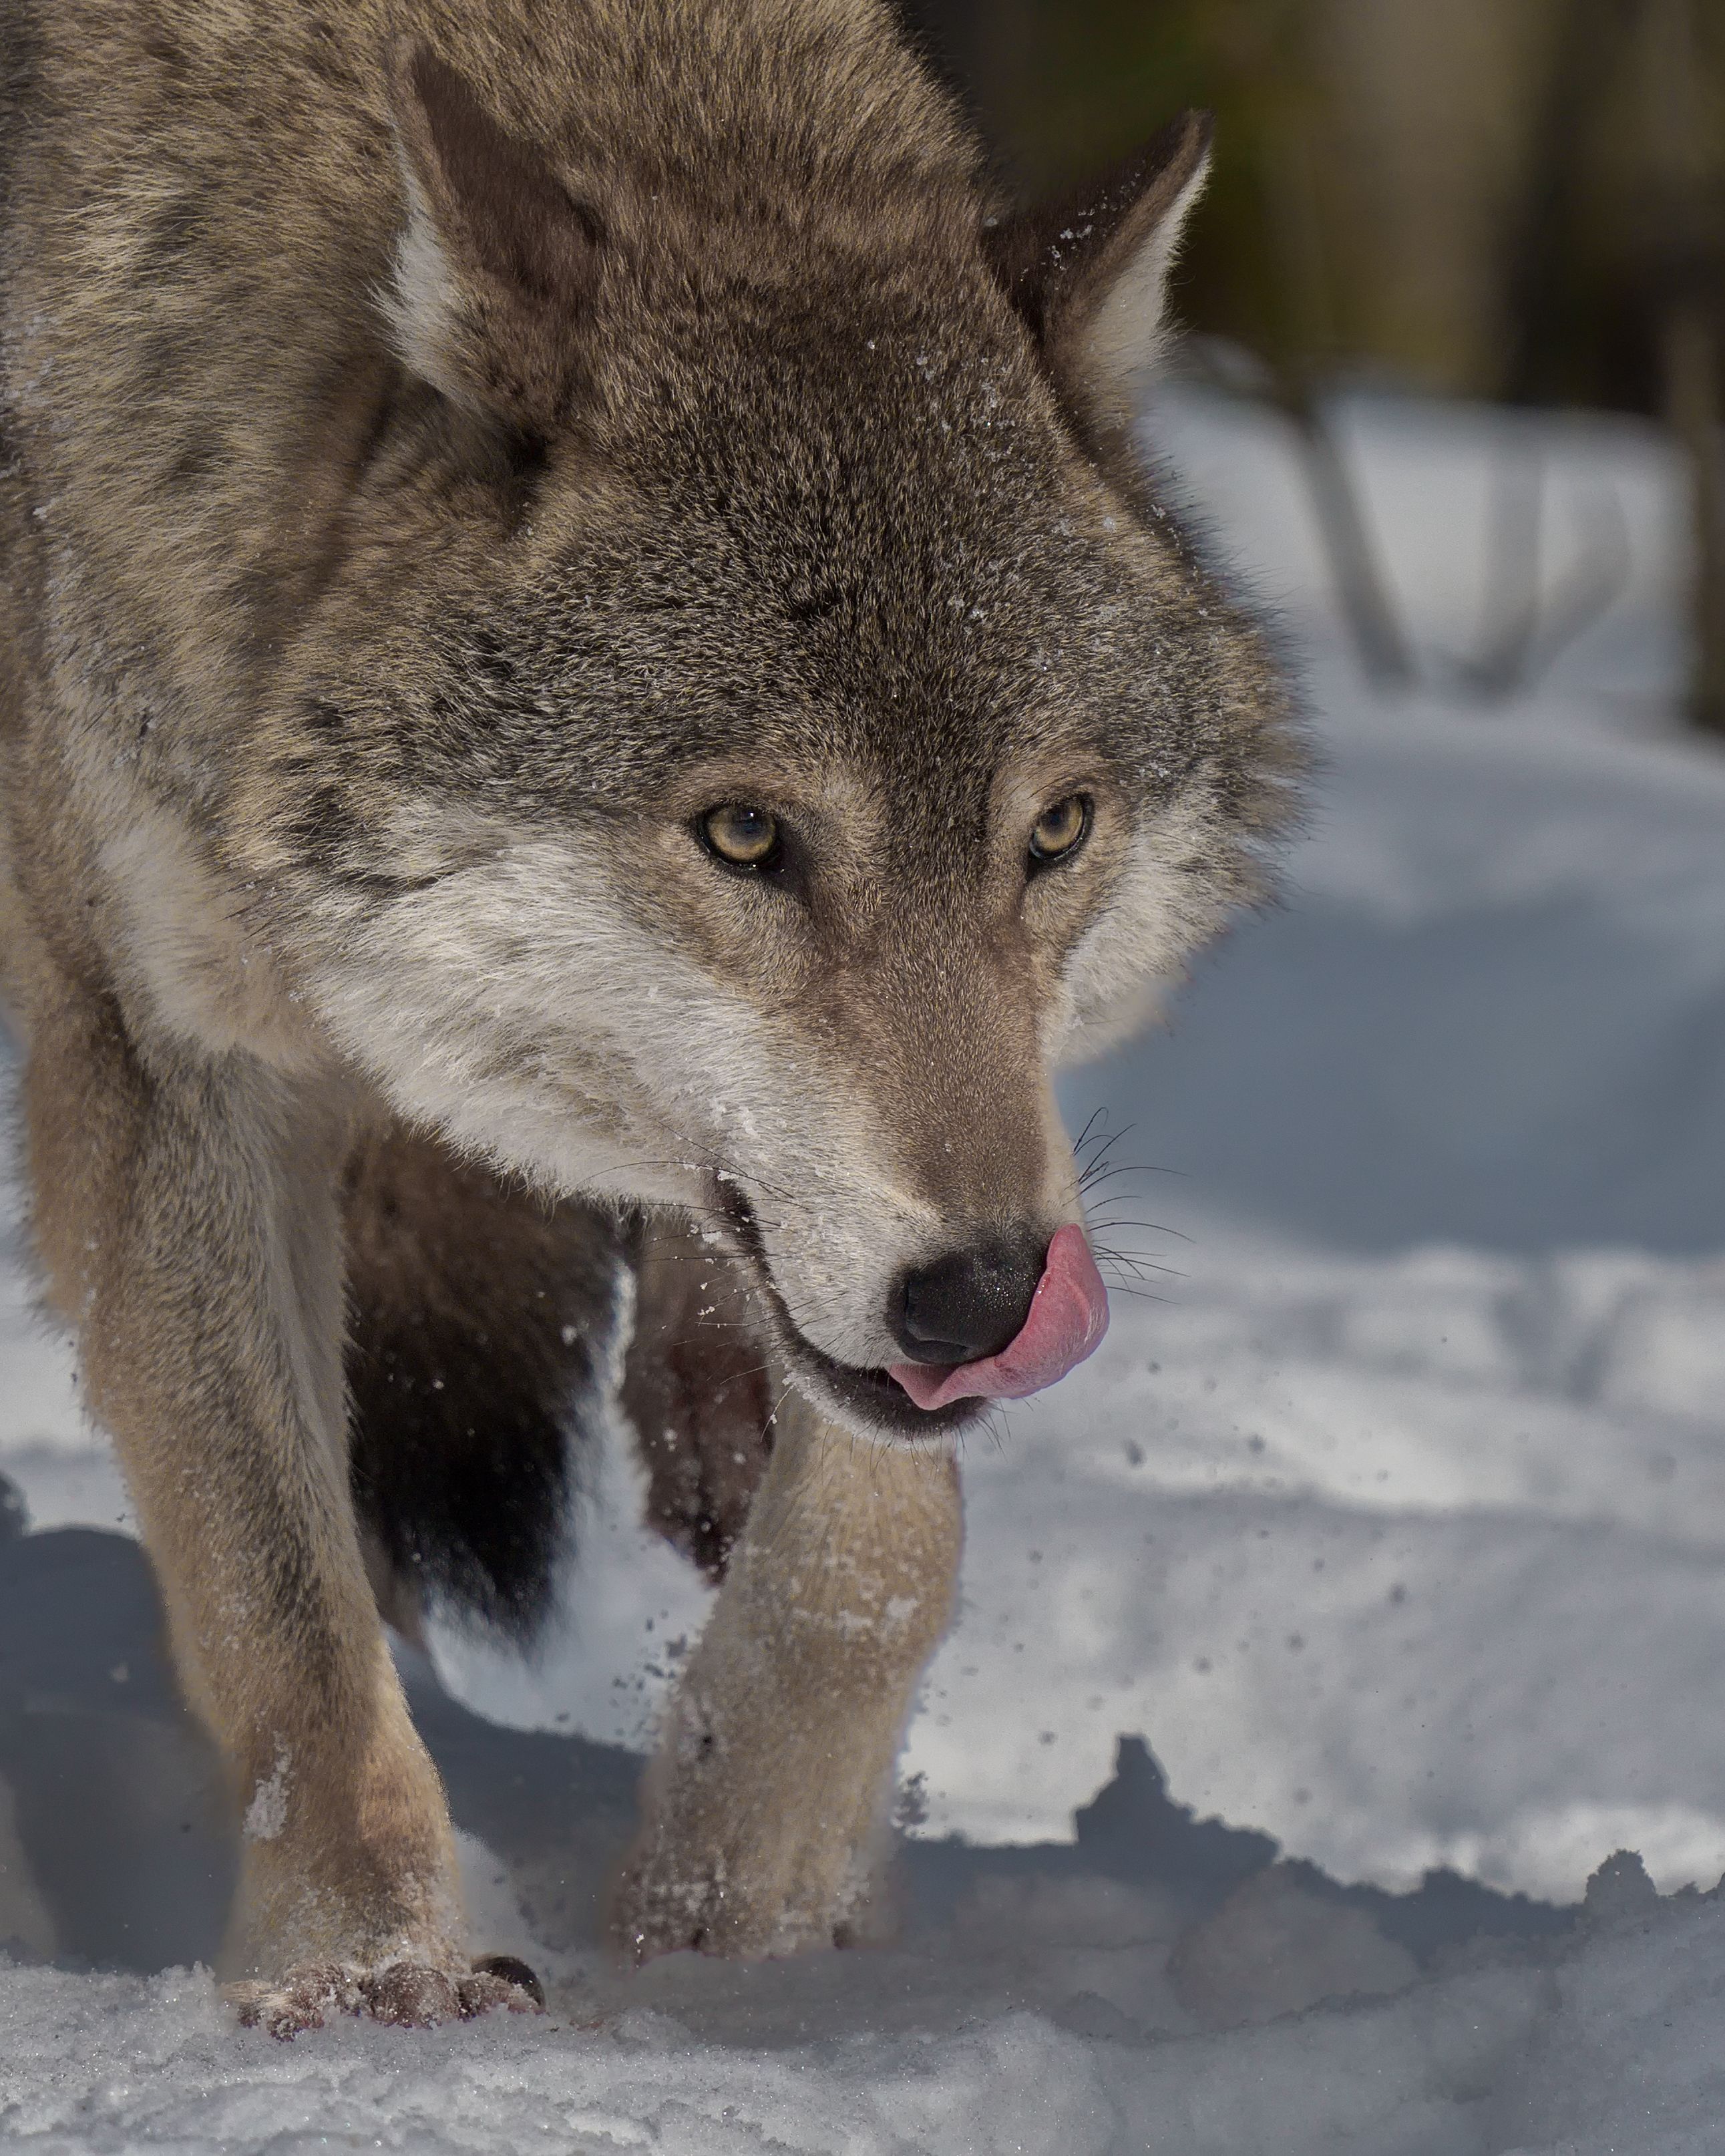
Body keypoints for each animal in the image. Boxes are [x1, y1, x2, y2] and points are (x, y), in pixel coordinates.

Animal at [0, 0, 1294, 2035]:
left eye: (1056, 830)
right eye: (747, 835)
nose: (989, 1299)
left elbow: (885, 1542)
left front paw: (744, 1877)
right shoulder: (162, 1067)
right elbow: (285, 1599)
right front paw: (367, 1967)